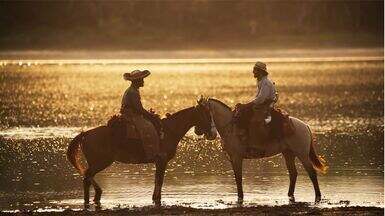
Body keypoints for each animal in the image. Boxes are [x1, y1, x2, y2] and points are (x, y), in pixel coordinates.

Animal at [66, 104, 216, 207]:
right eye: (207, 115)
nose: (213, 134)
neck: (168, 131)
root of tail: (85, 134)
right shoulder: (162, 161)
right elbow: (159, 180)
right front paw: (157, 198)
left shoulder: (159, 162)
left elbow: (157, 180)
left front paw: (155, 198)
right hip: (101, 162)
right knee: (87, 176)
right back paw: (94, 196)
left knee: (87, 177)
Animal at [198, 98, 328, 204]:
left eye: (205, 113)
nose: (210, 134)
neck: (231, 127)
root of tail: (305, 126)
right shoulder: (233, 159)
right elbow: (237, 177)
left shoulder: (237, 158)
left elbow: (238, 178)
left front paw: (240, 197)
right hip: (288, 154)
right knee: (293, 174)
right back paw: (289, 194)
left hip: (302, 155)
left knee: (312, 173)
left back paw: (318, 196)